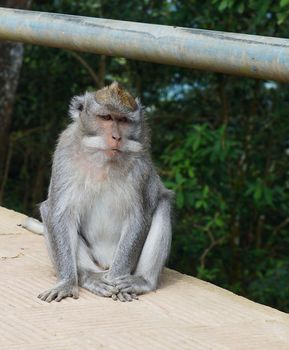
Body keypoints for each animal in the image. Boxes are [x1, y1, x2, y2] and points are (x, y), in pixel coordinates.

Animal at [37, 81, 173, 300]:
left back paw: (142, 281)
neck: (102, 160)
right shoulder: (65, 151)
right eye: (107, 117)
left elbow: (139, 218)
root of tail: (105, 260)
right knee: (47, 210)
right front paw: (67, 283)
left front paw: (117, 281)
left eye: (124, 120)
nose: (116, 137)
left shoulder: (141, 166)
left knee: (163, 205)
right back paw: (88, 276)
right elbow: (60, 214)